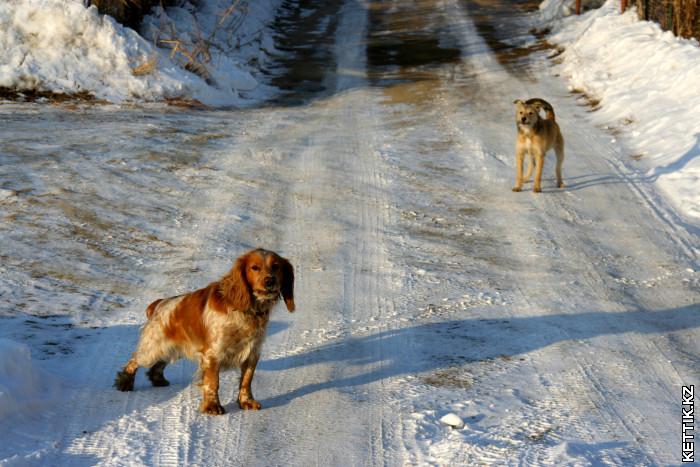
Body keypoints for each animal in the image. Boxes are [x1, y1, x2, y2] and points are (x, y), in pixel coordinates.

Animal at [113, 250, 294, 414]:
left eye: (276, 266)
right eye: (254, 267)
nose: (270, 281)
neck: (247, 311)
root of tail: (158, 304)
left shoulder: (252, 352)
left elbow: (246, 380)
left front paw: (246, 402)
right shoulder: (214, 353)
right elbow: (213, 382)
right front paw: (212, 407)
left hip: (171, 348)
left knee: (158, 364)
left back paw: (158, 379)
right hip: (153, 348)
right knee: (133, 361)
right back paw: (125, 383)